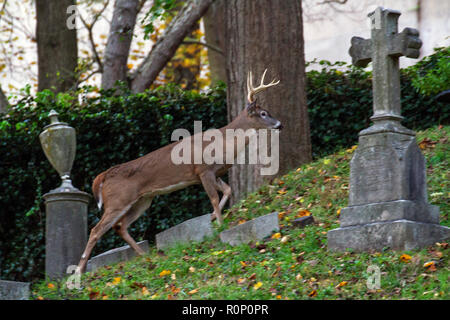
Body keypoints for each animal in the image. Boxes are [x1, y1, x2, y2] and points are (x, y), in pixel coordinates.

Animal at [77, 69, 282, 272]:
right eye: (263, 113)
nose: (280, 124)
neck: (225, 142)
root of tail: (102, 177)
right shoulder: (203, 170)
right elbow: (214, 198)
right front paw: (220, 224)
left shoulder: (214, 173)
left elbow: (228, 190)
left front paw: (213, 217)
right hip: (118, 201)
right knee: (97, 229)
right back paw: (80, 269)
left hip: (143, 200)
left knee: (121, 226)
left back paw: (144, 255)